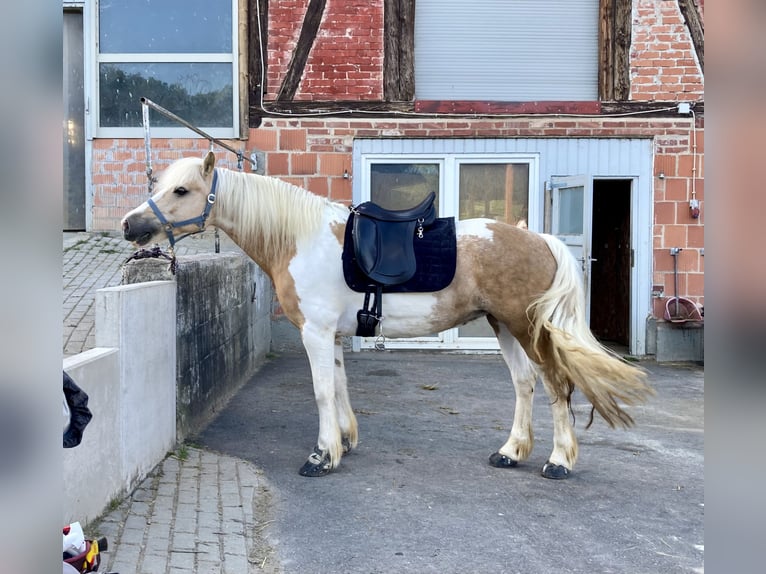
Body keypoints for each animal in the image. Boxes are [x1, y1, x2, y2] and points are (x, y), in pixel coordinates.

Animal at [121, 152, 652, 479]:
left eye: (183, 190)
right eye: (162, 185)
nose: (130, 226)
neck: (300, 238)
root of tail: (537, 237)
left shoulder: (315, 333)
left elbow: (321, 391)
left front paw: (321, 457)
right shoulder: (333, 336)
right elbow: (338, 387)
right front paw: (343, 441)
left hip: (528, 329)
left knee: (557, 386)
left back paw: (559, 462)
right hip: (503, 326)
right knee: (523, 385)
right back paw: (510, 452)